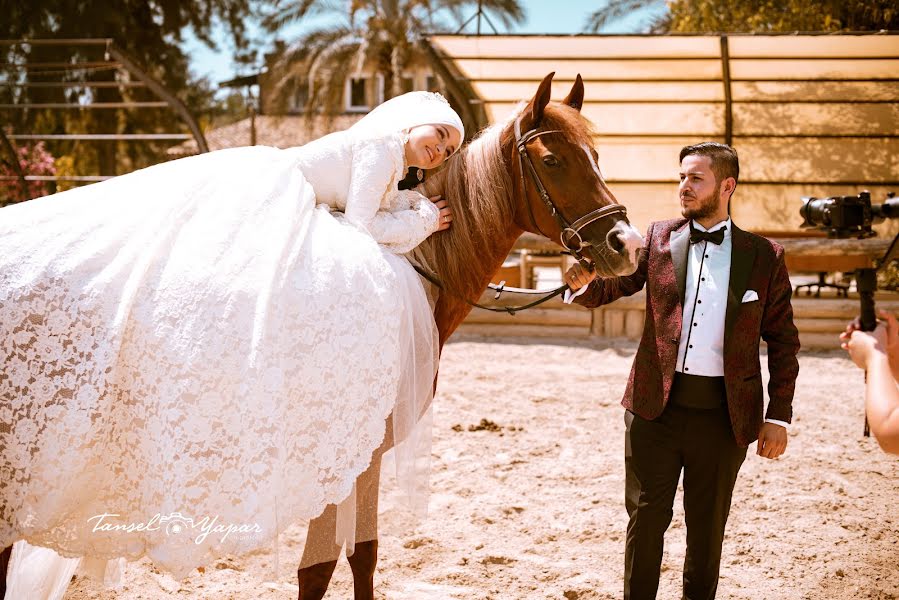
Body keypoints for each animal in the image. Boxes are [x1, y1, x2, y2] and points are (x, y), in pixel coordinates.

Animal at [298, 72, 644, 596]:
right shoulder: (347, 456)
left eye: (597, 157)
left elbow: (362, 554)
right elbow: (323, 566)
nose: (627, 244)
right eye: (552, 160)